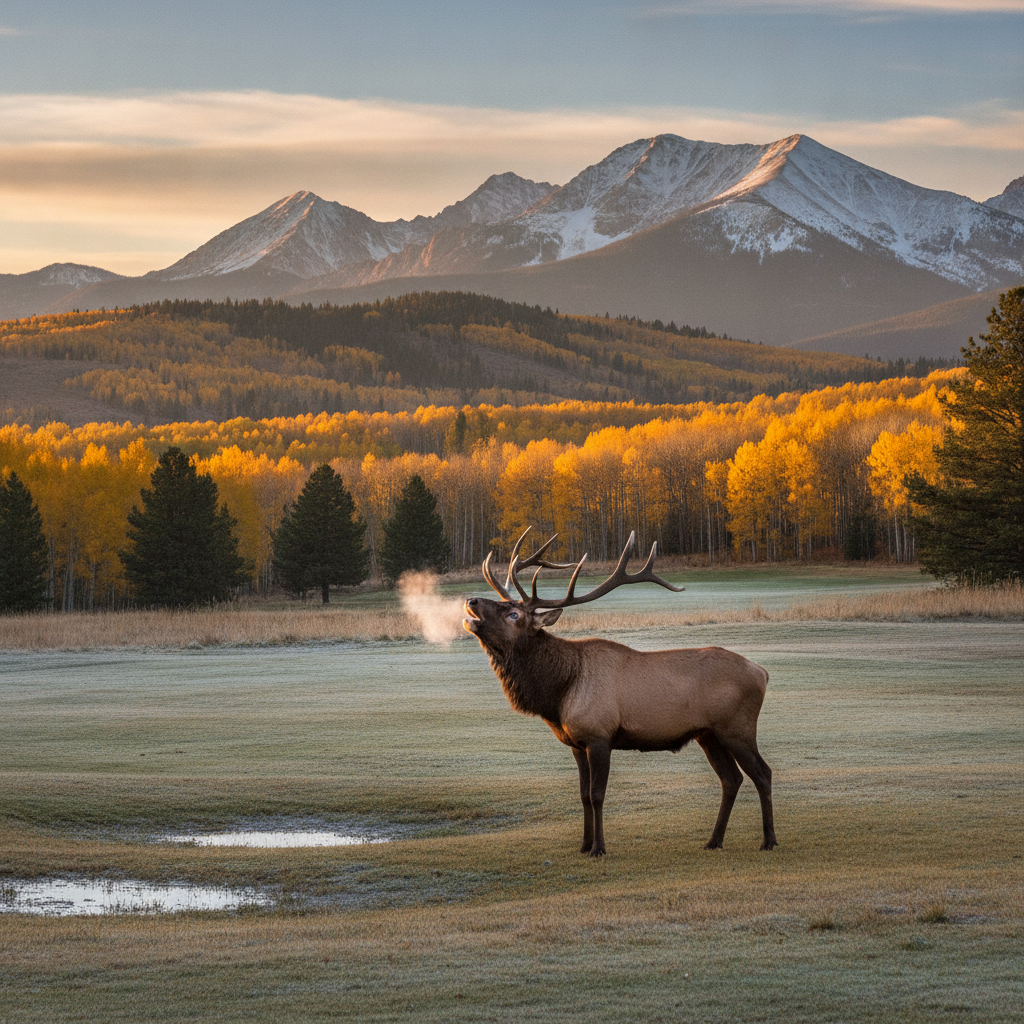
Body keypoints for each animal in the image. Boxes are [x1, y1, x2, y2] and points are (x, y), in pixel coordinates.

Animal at [463, 528, 777, 857]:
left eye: (513, 614)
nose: (471, 600)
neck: (560, 693)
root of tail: (762, 673)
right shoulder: (576, 743)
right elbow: (583, 795)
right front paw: (583, 845)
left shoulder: (599, 735)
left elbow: (597, 794)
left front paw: (598, 848)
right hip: (708, 734)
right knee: (731, 779)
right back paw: (714, 840)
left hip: (737, 728)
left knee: (762, 773)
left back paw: (768, 840)